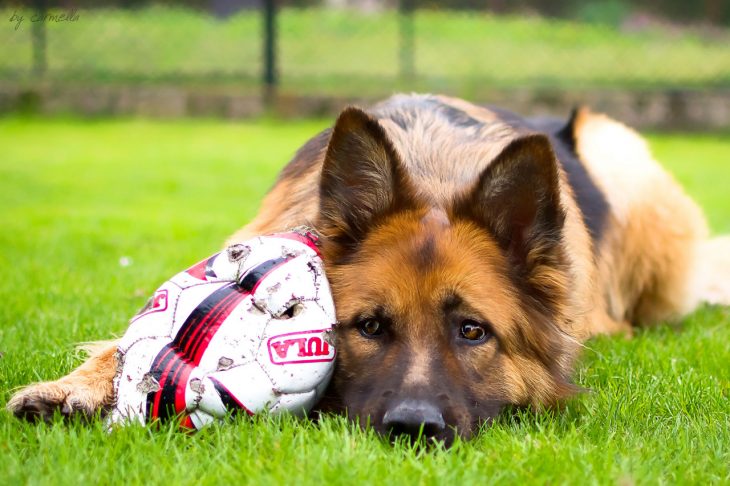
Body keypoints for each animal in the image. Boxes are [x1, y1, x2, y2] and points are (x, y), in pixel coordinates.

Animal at [7, 94, 728, 444]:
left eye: (473, 332)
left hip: (619, 153)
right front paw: (72, 388)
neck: (435, 172)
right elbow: (132, 339)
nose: (413, 429)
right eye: (370, 327)